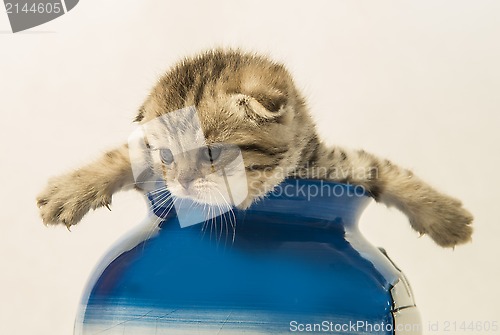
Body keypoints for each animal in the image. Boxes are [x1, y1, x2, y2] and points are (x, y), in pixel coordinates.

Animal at [36, 50, 472, 249]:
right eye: (166, 158)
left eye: (212, 154)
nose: (182, 183)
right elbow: (122, 156)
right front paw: (67, 193)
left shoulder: (325, 163)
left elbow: (382, 168)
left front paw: (445, 216)